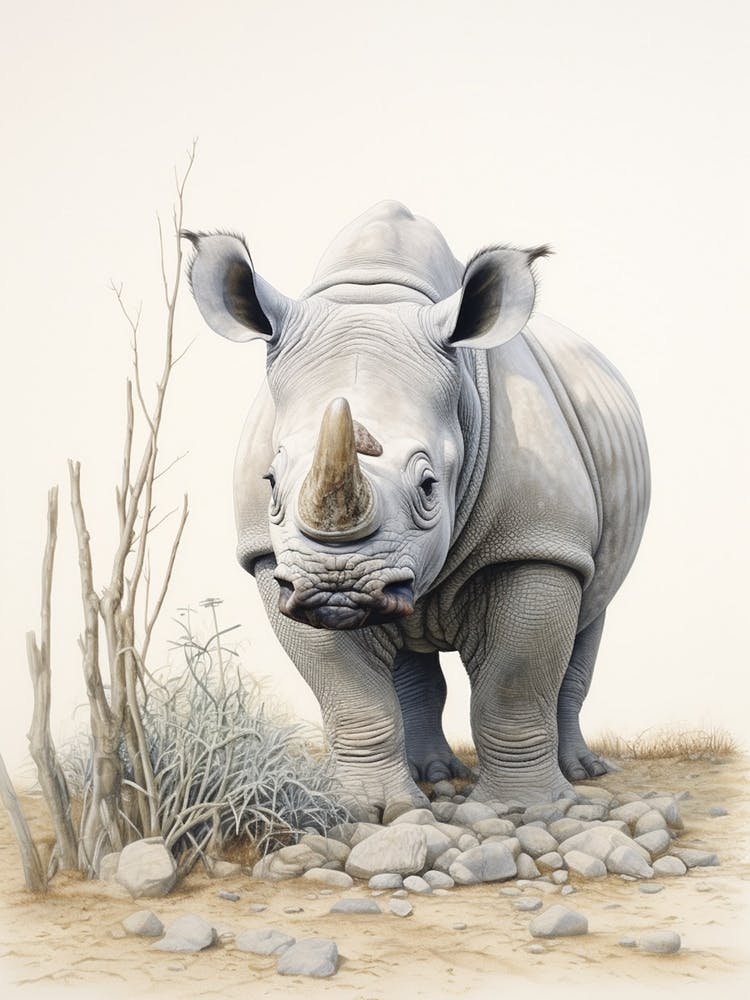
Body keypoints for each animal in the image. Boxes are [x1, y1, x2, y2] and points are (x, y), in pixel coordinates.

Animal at [183, 201, 650, 819]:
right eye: (271, 483)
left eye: (430, 486)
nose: (337, 585)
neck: (377, 296)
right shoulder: (274, 562)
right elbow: (349, 693)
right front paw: (371, 813)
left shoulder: (540, 543)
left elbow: (514, 684)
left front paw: (525, 810)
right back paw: (435, 777)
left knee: (589, 619)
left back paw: (582, 773)